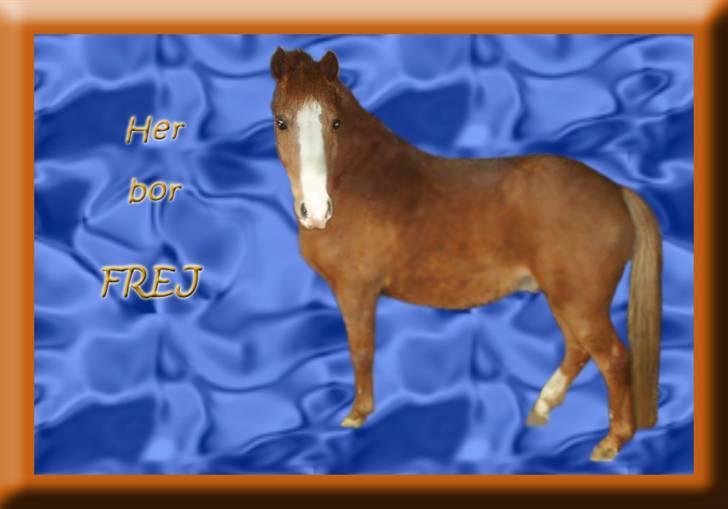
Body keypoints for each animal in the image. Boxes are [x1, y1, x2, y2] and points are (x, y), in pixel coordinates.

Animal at [269, 47, 662, 462]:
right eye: (282, 122)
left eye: (336, 123)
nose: (315, 212)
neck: (360, 183)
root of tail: (617, 190)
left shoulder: (356, 291)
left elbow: (360, 350)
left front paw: (357, 414)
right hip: (566, 300)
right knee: (578, 349)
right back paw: (542, 408)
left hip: (580, 303)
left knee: (614, 358)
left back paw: (611, 442)